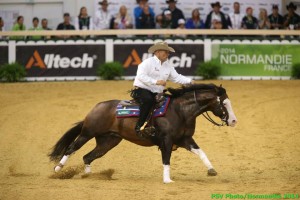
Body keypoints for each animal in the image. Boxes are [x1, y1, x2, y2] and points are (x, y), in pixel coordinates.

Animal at [48, 83, 237, 184]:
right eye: (224, 103)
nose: (234, 121)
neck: (180, 111)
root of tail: (96, 108)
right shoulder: (167, 140)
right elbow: (166, 160)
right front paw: (167, 180)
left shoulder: (185, 139)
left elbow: (201, 152)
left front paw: (211, 170)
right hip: (87, 133)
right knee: (72, 148)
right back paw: (58, 169)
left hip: (108, 141)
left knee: (88, 156)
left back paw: (89, 175)